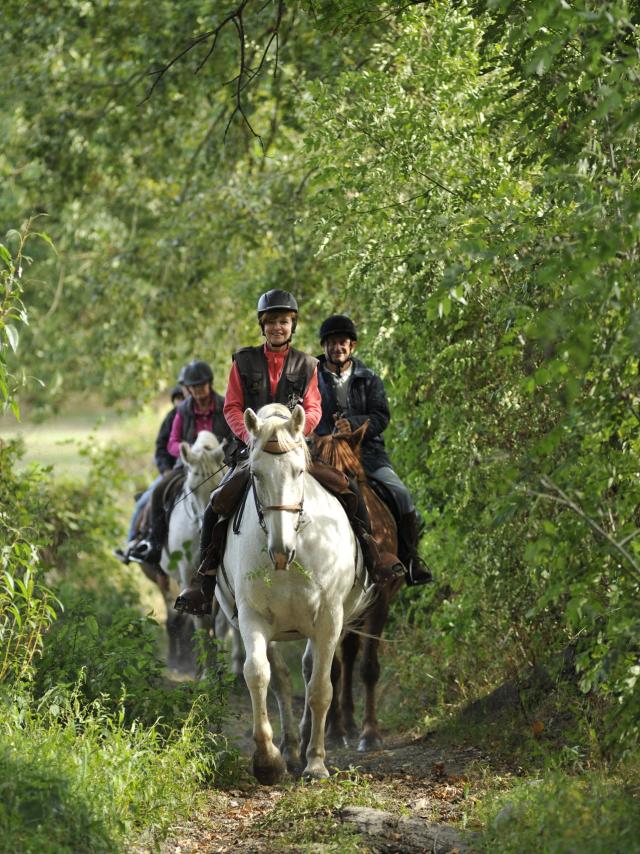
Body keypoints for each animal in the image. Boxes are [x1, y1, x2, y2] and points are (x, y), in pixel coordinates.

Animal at [215, 404, 372, 784]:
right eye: (255, 474)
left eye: (299, 470)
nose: (281, 550)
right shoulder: (252, 616)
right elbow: (259, 674)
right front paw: (268, 760)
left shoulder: (329, 618)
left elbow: (320, 688)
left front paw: (316, 763)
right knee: (283, 680)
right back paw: (289, 747)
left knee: (312, 671)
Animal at [312, 424, 402, 752]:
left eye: (352, 473)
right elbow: (332, 670)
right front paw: (334, 731)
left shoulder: (381, 599)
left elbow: (368, 667)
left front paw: (370, 733)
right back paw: (343, 724)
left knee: (352, 655)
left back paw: (352, 724)